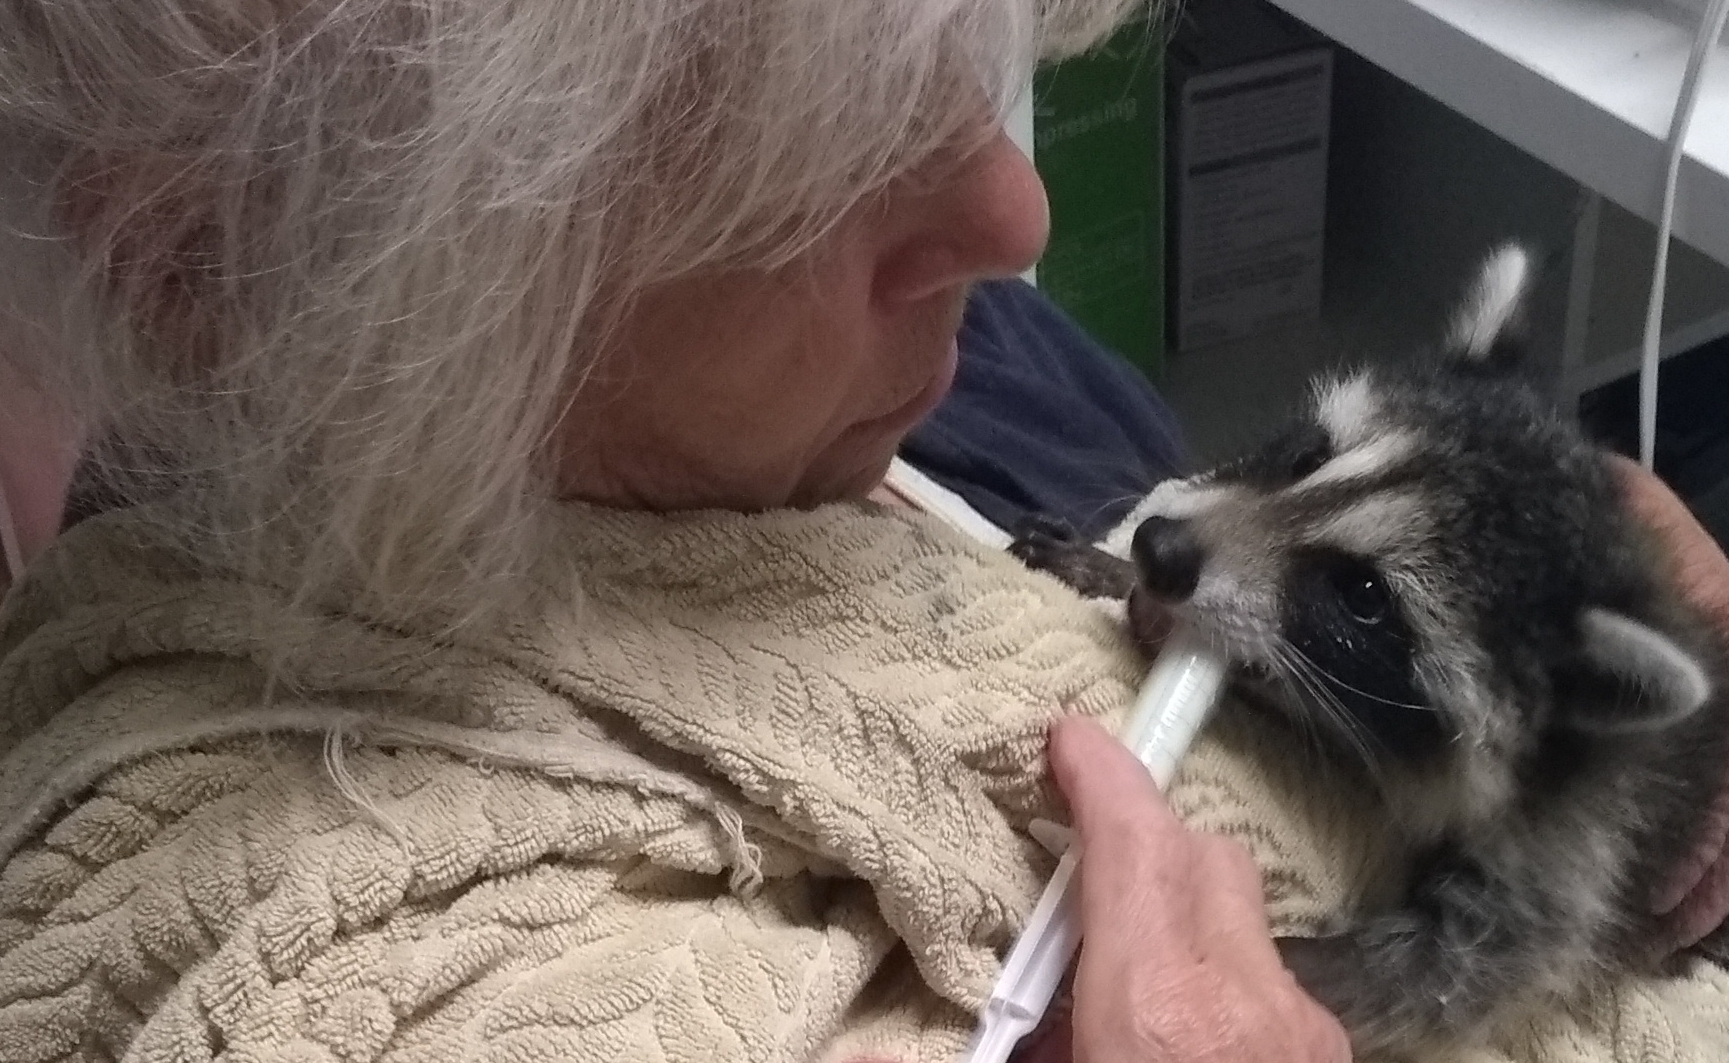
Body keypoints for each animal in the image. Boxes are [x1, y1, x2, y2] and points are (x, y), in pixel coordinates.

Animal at [1012, 245, 1729, 1055]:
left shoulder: (1589, 835)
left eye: (1362, 594)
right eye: (1308, 455)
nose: (1157, 548)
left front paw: (1282, 963)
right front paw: (1112, 573)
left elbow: (1459, 970)